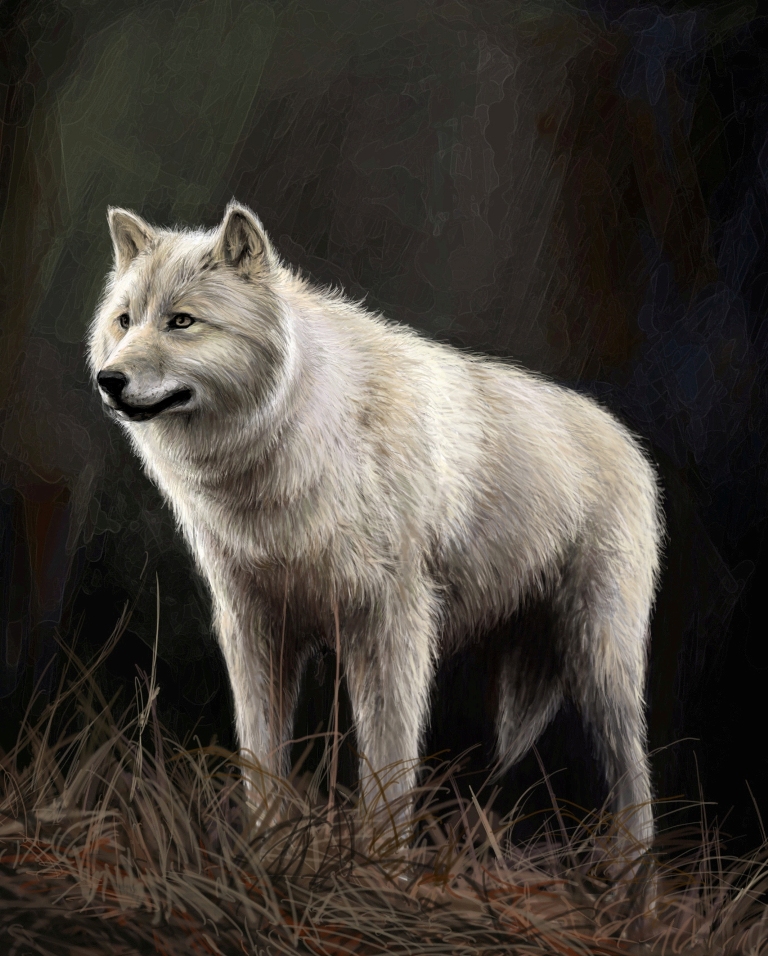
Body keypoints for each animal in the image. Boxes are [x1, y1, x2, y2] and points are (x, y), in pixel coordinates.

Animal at [88, 201, 663, 849]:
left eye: (181, 321)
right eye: (124, 321)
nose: (108, 380)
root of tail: (627, 441)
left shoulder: (392, 627)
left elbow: (387, 769)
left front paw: (381, 861)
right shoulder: (256, 627)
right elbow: (263, 758)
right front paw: (264, 851)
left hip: (601, 665)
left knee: (633, 775)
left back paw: (633, 874)